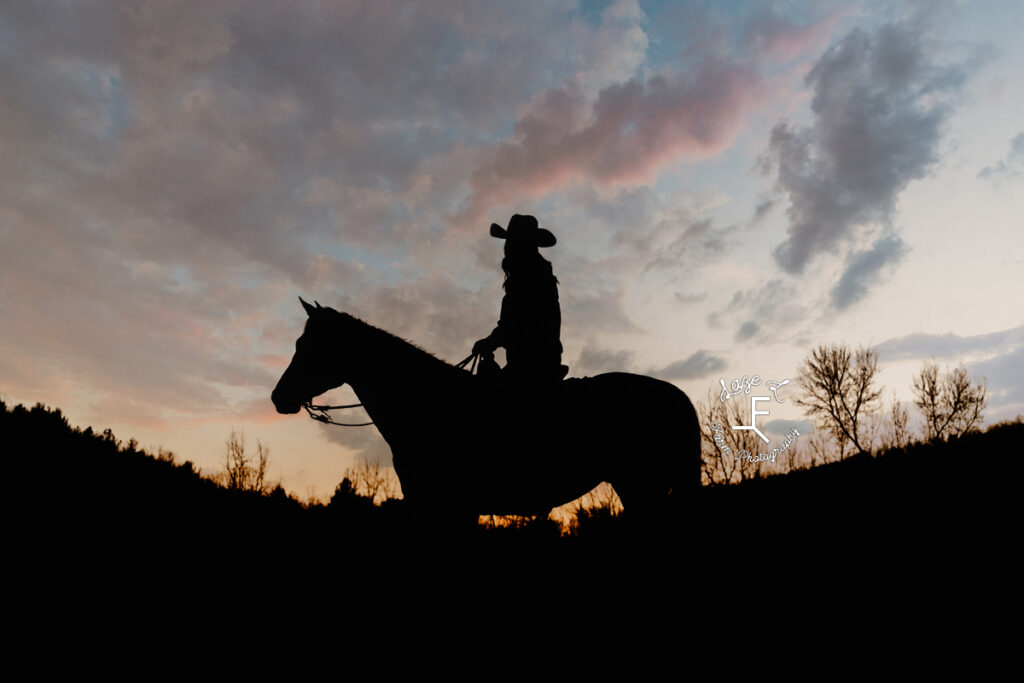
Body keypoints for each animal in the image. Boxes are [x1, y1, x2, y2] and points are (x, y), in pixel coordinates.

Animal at [272, 301, 704, 524]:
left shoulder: (447, 507)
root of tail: (676, 395)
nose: (279, 396)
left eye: (308, 345)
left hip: (642, 484)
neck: (427, 404)